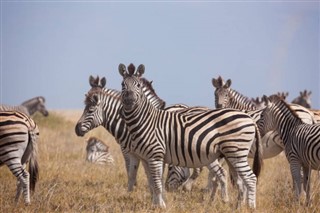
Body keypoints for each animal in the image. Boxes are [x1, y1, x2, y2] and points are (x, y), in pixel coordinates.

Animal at [119, 62, 262, 208]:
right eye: (122, 85)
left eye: (138, 85)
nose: (129, 100)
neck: (145, 120)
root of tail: (249, 118)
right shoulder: (145, 158)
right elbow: (152, 183)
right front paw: (154, 205)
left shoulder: (155, 155)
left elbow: (157, 184)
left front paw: (162, 206)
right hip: (230, 155)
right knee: (240, 181)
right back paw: (238, 207)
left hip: (236, 152)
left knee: (250, 178)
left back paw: (250, 207)